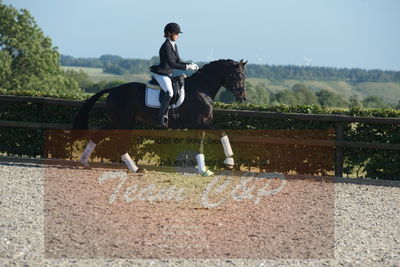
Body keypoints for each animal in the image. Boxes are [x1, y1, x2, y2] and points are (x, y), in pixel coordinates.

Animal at [72, 59, 247, 176]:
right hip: (125, 122)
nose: (242, 98)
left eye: (245, 76)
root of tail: (114, 89)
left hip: (114, 121)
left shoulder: (200, 125)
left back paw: (84, 161)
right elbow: (223, 133)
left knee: (97, 136)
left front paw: (204, 170)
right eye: (238, 76)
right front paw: (229, 162)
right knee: (120, 146)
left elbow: (200, 146)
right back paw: (136, 169)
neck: (201, 90)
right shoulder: (201, 123)